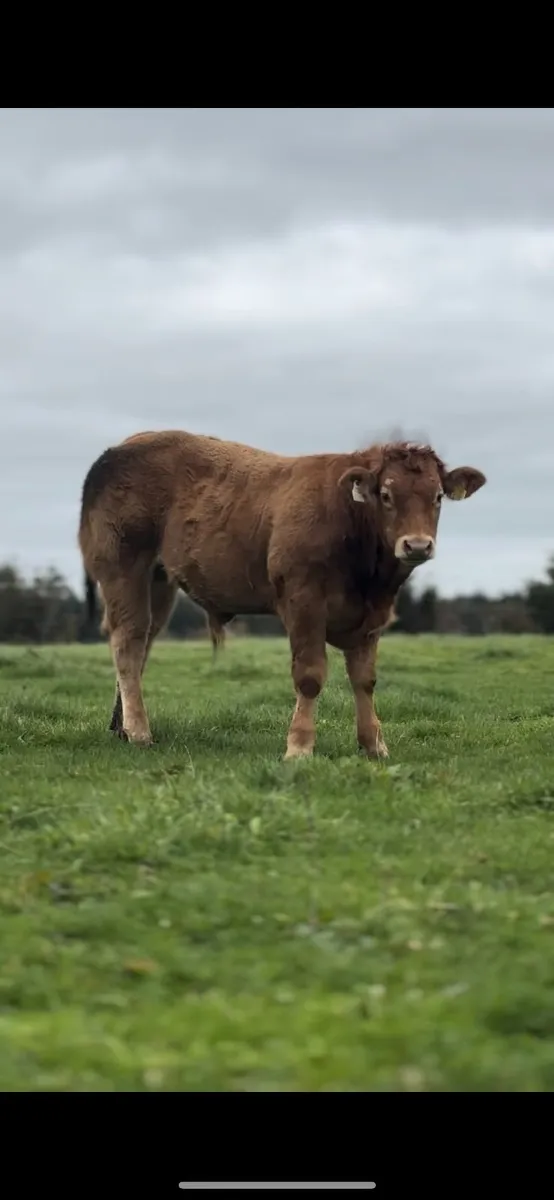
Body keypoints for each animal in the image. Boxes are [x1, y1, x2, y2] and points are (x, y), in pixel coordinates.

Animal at [78, 431, 486, 758]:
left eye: (437, 496)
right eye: (385, 494)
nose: (417, 545)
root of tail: (120, 448)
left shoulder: (371, 617)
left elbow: (364, 680)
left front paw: (373, 744)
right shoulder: (304, 603)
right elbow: (310, 676)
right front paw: (299, 747)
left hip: (160, 581)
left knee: (143, 642)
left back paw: (121, 726)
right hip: (124, 569)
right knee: (128, 643)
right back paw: (139, 731)